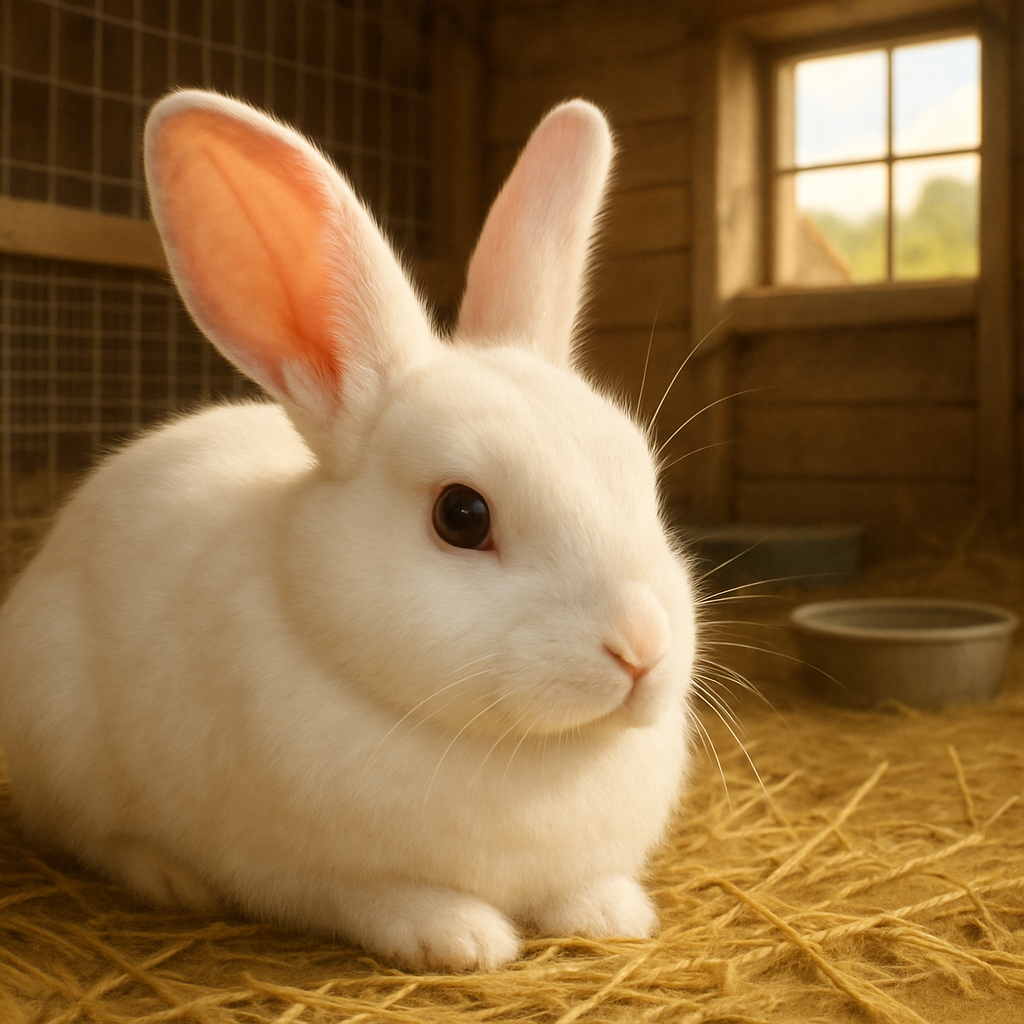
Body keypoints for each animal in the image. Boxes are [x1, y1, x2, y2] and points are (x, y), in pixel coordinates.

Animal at [0, 90, 696, 972]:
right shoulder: (308, 876)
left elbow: (580, 889)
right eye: (462, 515)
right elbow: (375, 899)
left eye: (645, 483)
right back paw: (166, 878)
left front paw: (612, 914)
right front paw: (461, 938)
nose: (641, 647)